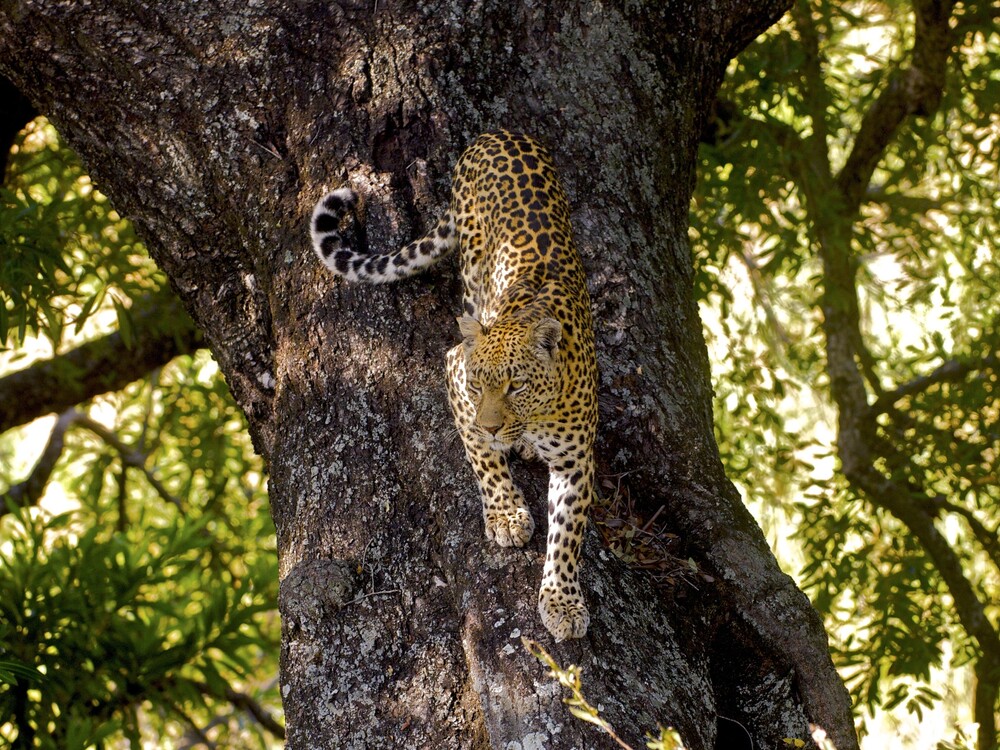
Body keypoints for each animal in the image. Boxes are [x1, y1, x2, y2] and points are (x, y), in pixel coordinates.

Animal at [310, 130, 599, 641]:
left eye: (516, 385)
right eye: (480, 385)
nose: (492, 425)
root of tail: (496, 134)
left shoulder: (576, 460)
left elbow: (566, 536)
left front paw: (562, 601)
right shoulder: (455, 373)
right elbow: (481, 457)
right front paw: (505, 514)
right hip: (472, 266)